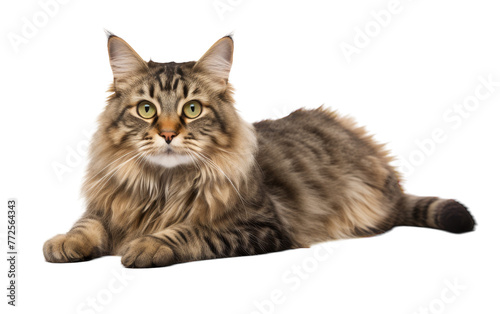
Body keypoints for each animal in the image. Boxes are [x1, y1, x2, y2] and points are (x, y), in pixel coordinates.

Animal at [44, 32, 476, 268]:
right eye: (146, 109)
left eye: (192, 109)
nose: (167, 134)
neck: (164, 185)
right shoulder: (106, 206)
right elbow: (86, 225)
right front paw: (64, 241)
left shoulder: (262, 225)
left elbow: (191, 230)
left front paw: (149, 243)